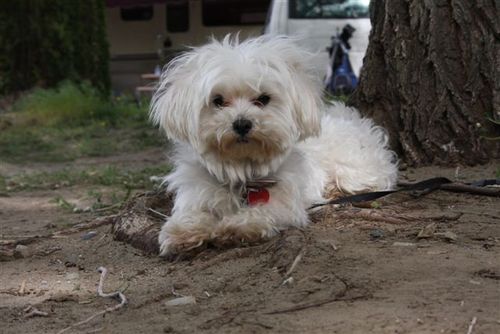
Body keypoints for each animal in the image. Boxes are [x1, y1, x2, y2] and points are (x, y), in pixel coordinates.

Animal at [150, 35, 396, 256]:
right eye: (218, 101)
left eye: (263, 99)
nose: (242, 123)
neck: (243, 174)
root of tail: (351, 118)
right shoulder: (196, 193)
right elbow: (191, 214)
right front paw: (183, 230)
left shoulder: (286, 203)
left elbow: (264, 211)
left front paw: (239, 226)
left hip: (352, 170)